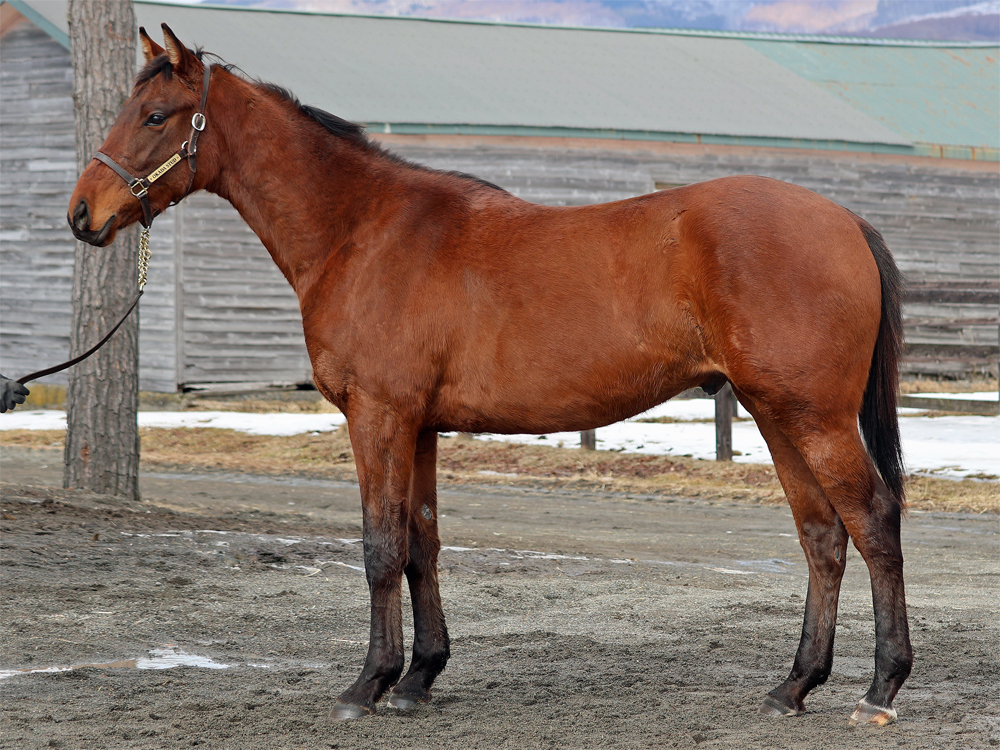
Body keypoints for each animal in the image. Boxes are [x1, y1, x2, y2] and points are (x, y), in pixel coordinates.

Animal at [68, 24, 911, 726]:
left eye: (155, 116)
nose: (82, 214)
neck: (363, 231)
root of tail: (844, 220)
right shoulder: (420, 427)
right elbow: (421, 543)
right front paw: (417, 678)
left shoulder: (378, 417)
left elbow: (380, 546)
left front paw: (367, 684)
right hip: (776, 414)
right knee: (821, 535)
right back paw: (793, 686)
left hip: (813, 417)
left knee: (872, 521)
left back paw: (881, 688)